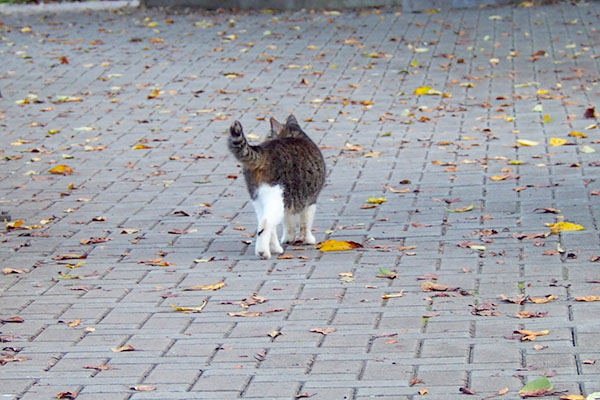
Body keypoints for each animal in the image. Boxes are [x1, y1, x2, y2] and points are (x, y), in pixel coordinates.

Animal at [227, 114, 326, 260]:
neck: (294, 134)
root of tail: (264, 151)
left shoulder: (290, 204)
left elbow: (288, 223)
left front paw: (288, 239)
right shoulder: (311, 200)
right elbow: (305, 223)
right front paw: (308, 239)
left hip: (260, 199)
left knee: (266, 224)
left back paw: (275, 248)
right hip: (277, 196)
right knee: (265, 224)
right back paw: (263, 252)